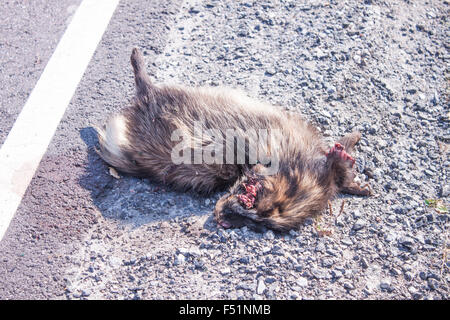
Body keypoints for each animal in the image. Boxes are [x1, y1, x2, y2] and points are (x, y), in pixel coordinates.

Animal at [96, 47, 370, 231]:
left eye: (256, 224)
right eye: (249, 196)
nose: (221, 214)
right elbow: (338, 164)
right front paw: (347, 160)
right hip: (165, 102)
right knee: (145, 84)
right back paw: (137, 62)